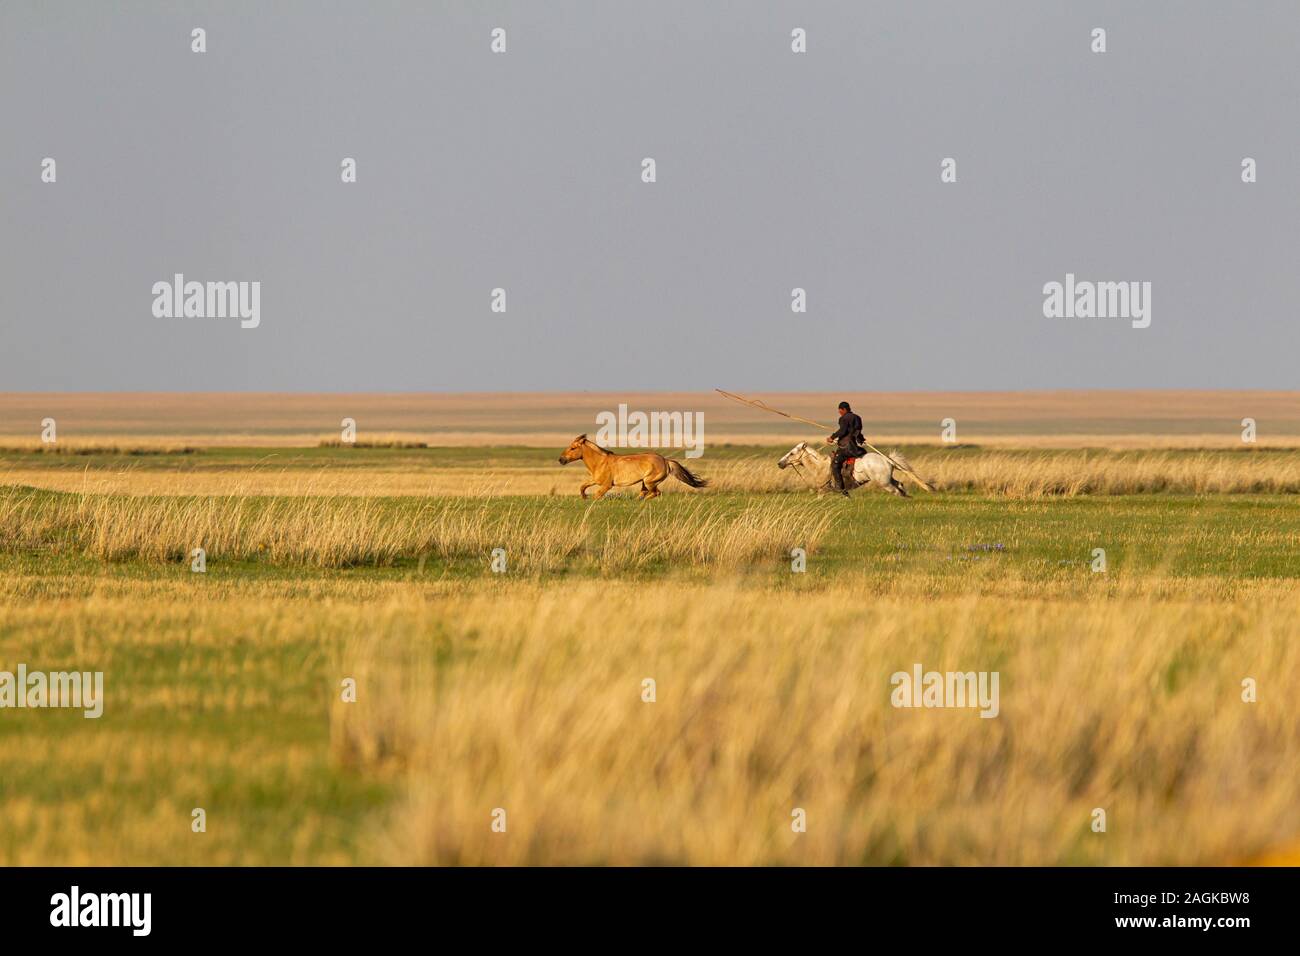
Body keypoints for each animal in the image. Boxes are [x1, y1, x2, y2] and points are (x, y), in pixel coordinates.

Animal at [553, 434, 707, 502]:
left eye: (573, 448)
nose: (561, 459)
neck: (600, 462)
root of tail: (665, 460)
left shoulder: (606, 485)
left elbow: (597, 495)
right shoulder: (595, 480)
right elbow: (582, 486)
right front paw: (584, 497)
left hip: (650, 481)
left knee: (656, 493)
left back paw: (640, 501)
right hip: (645, 482)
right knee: (647, 493)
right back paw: (637, 500)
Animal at [774, 442, 909, 502]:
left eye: (792, 453)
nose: (780, 463)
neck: (820, 466)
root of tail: (887, 460)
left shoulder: (822, 490)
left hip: (884, 483)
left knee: (897, 491)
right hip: (889, 480)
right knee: (900, 485)